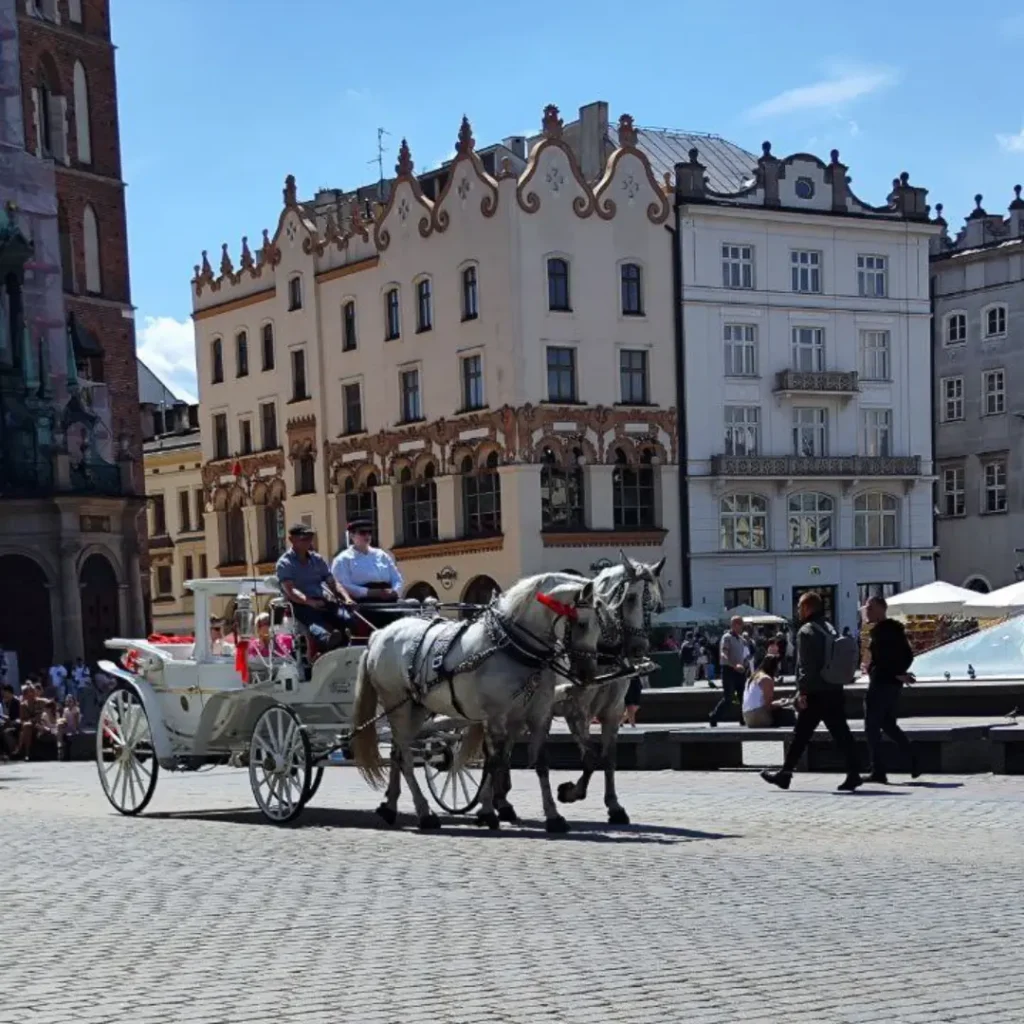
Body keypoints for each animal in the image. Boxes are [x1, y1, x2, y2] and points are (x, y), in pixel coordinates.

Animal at [352, 577, 602, 831]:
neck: (511, 648)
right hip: (397, 704)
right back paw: (424, 813)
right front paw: (488, 811)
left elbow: (540, 764)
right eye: (581, 624)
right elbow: (495, 761)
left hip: (416, 708)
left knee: (396, 753)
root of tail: (381, 633)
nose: (588, 674)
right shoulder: (496, 717)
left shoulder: (537, 716)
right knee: (407, 759)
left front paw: (553, 815)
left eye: (600, 626)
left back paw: (390, 807)